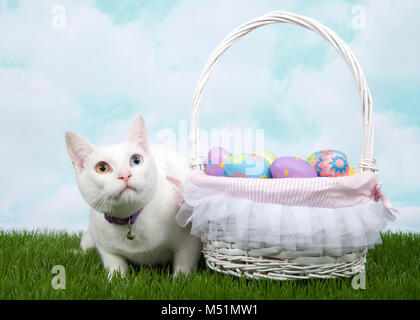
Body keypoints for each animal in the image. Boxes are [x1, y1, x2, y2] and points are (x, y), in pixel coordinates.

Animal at [65, 114, 202, 278]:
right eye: (102, 167)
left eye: (136, 160)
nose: (125, 175)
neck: (130, 220)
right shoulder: (105, 247)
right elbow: (114, 265)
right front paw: (115, 279)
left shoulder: (189, 243)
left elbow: (184, 265)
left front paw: (179, 280)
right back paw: (76, 252)